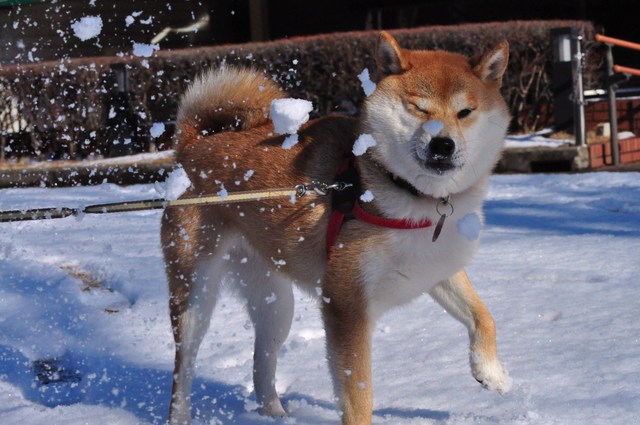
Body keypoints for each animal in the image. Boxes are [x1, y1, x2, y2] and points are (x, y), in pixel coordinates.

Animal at [162, 31, 512, 422]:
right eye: (418, 108)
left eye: (465, 112)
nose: (442, 144)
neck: (406, 194)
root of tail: (192, 146)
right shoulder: (346, 306)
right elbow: (359, 395)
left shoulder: (436, 268)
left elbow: (483, 316)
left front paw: (491, 372)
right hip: (196, 293)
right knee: (183, 370)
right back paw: (181, 414)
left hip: (275, 302)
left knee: (261, 363)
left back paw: (277, 414)